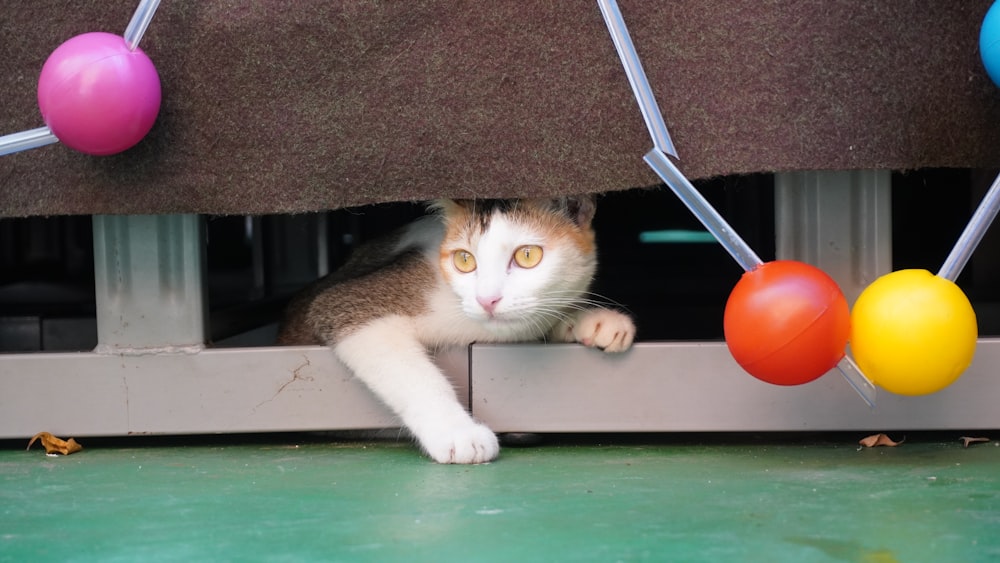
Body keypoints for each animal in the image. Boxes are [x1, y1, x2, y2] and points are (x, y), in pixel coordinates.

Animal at [276, 196, 632, 464]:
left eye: (528, 255)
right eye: (464, 260)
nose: (487, 299)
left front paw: (594, 321)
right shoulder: (349, 304)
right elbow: (413, 375)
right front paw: (457, 432)